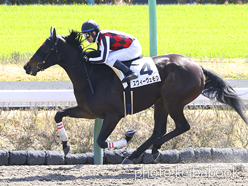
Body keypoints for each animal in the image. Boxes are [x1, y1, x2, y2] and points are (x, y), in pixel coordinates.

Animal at [23, 28, 248, 163]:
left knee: (182, 126)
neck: (90, 75)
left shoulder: (113, 115)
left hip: (173, 101)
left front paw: (127, 137)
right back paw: (142, 153)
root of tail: (197, 67)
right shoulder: (88, 111)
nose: (27, 66)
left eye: (45, 47)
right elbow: (58, 114)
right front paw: (65, 145)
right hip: (161, 102)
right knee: (159, 130)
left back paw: (143, 151)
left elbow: (101, 142)